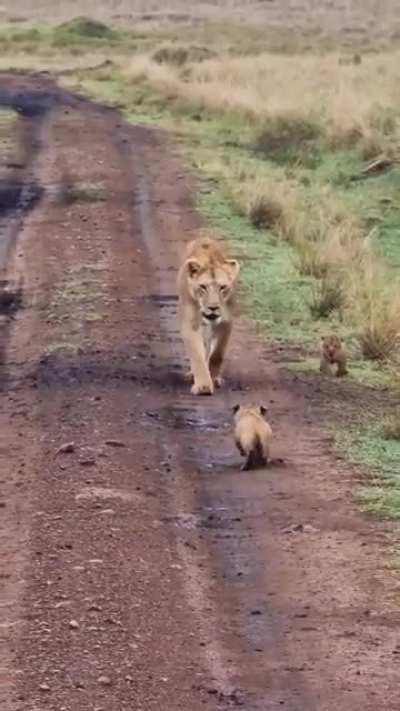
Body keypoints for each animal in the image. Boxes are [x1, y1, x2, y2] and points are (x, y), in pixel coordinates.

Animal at [177, 236, 240, 395]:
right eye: (203, 287)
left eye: (222, 287)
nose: (213, 308)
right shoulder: (191, 323)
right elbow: (197, 356)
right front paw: (203, 386)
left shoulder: (226, 322)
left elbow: (217, 353)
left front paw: (213, 377)